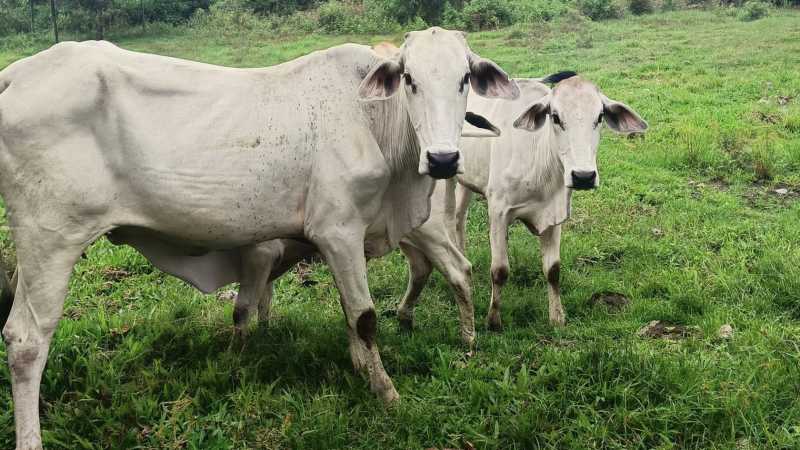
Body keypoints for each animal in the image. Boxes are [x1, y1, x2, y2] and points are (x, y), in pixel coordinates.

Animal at [0, 28, 519, 449]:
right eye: (409, 78)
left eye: (465, 78)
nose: (444, 159)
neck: (374, 121)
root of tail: (17, 75)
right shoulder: (338, 229)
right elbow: (365, 318)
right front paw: (386, 392)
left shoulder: (338, 241)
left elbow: (349, 315)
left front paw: (360, 367)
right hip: (52, 237)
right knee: (27, 341)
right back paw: (31, 437)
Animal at [394, 72, 648, 334]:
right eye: (555, 117)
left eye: (599, 117)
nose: (583, 176)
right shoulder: (498, 211)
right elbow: (500, 270)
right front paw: (493, 321)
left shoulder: (555, 215)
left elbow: (553, 270)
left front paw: (557, 317)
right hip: (447, 176)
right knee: (447, 217)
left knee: (458, 218)